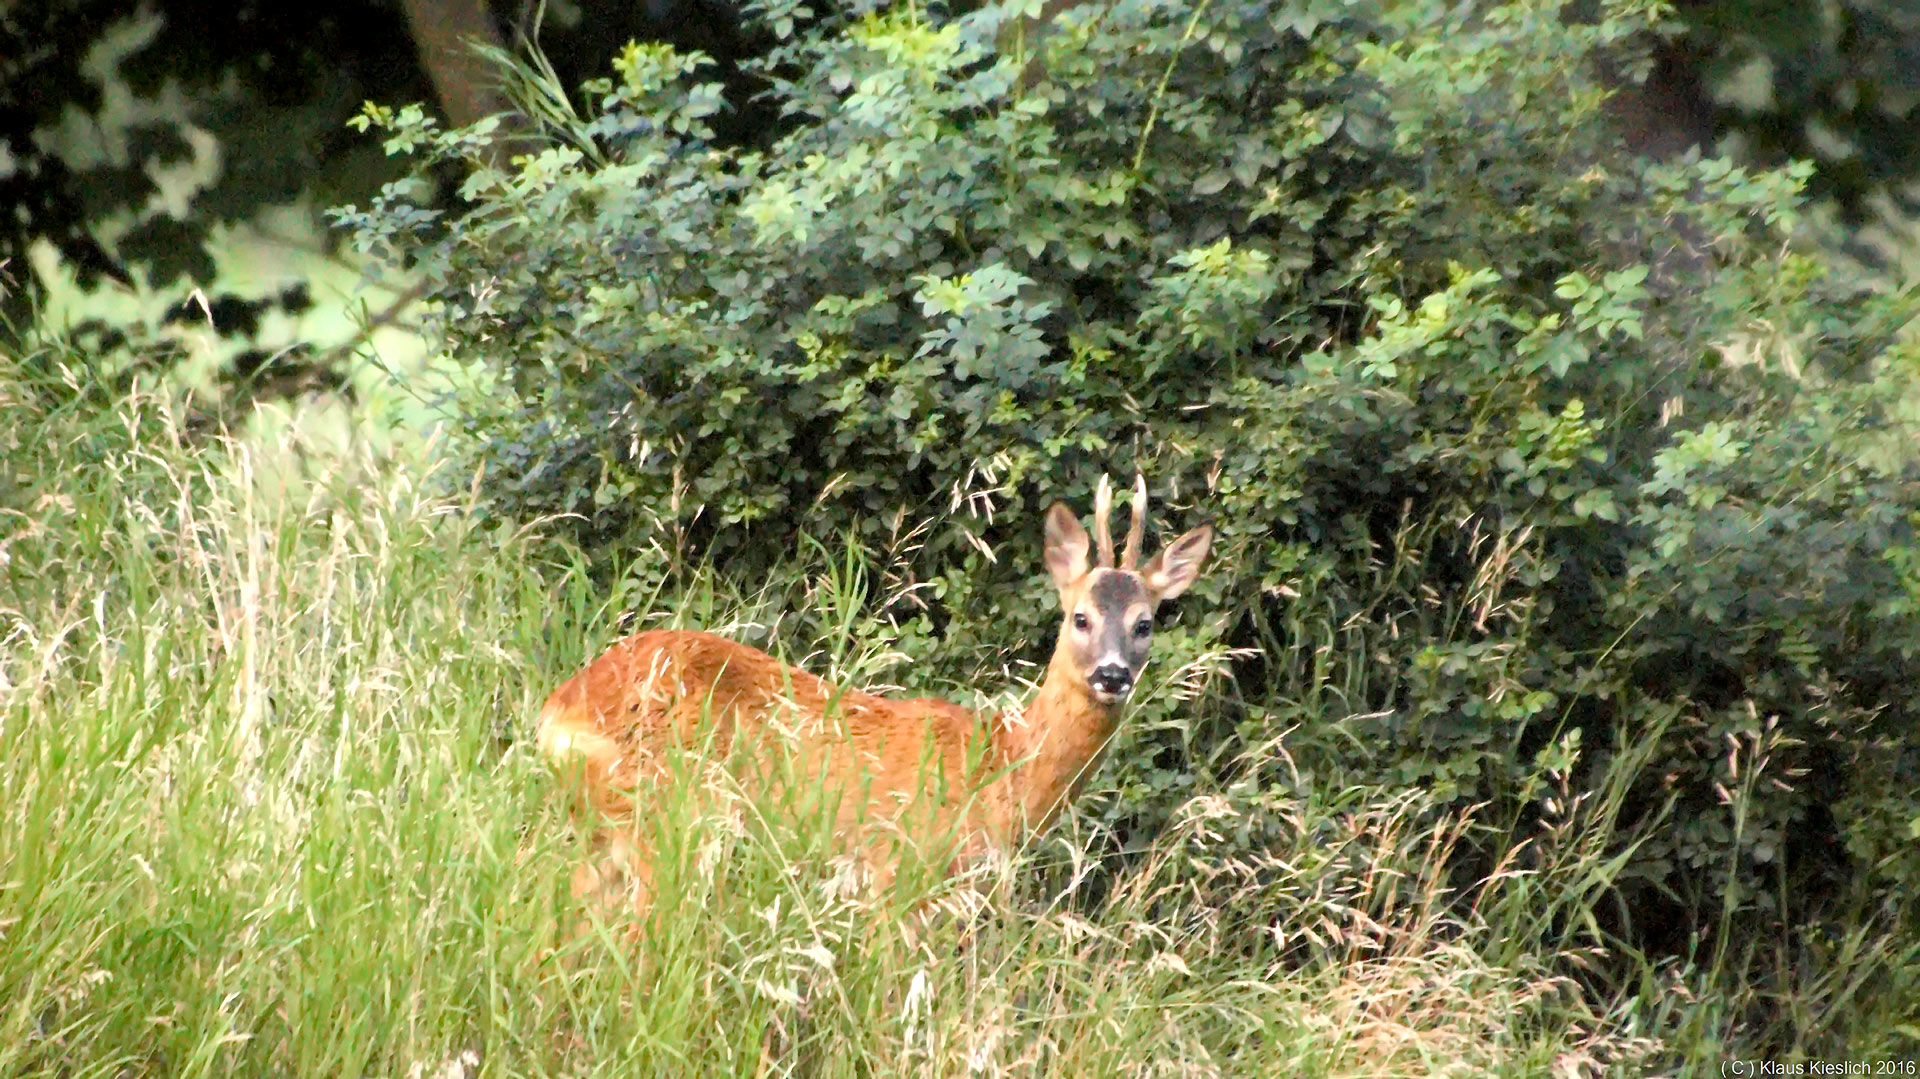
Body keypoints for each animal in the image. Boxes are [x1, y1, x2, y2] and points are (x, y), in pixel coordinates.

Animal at [533, 474, 1205, 910]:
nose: (1112, 675)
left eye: (1145, 623)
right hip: (669, 821)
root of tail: (558, 711)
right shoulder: (900, 870)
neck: (1000, 765)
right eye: (1080, 618)